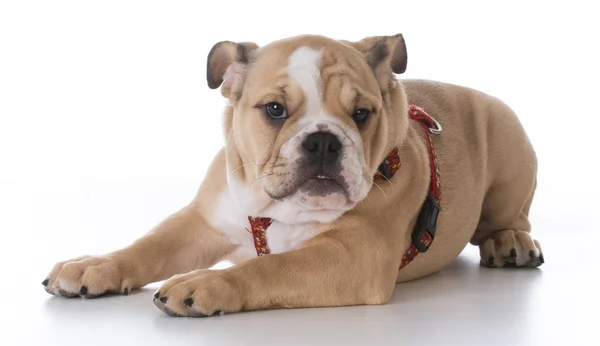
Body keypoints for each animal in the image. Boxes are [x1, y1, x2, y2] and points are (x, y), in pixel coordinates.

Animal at [39, 33, 540, 316]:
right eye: (274, 110)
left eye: (362, 114)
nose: (323, 141)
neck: (278, 208)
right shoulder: (202, 221)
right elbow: (149, 245)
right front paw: (95, 265)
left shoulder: (355, 255)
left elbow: (272, 266)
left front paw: (205, 283)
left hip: (512, 148)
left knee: (511, 218)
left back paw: (510, 242)